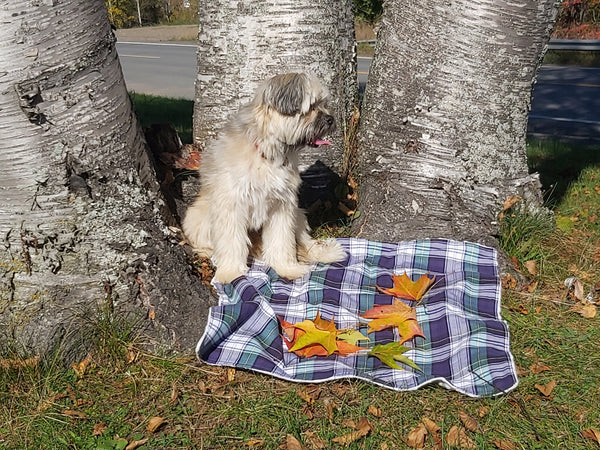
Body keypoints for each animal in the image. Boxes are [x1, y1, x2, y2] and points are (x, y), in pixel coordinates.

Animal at [182, 74, 346, 284]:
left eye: (324, 104)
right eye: (311, 107)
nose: (331, 119)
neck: (267, 152)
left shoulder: (282, 205)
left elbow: (282, 241)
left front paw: (287, 268)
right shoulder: (231, 206)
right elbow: (231, 242)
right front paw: (231, 273)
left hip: (298, 214)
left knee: (303, 241)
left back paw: (323, 252)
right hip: (197, 217)